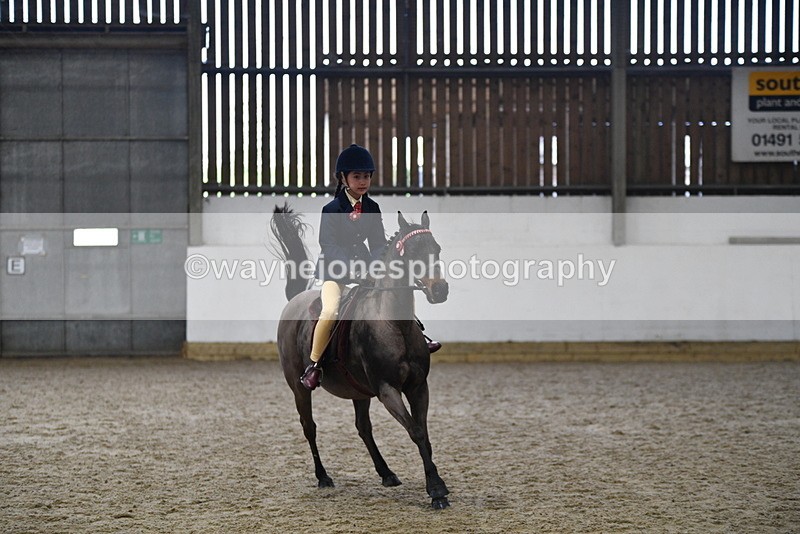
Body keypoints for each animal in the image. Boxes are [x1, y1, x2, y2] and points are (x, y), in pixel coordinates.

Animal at [270, 204, 451, 509]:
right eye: (412, 251)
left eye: (436, 248)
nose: (439, 289)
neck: (393, 323)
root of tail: (294, 301)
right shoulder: (388, 390)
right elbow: (415, 431)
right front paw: (436, 490)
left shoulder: (418, 386)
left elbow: (424, 434)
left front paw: (437, 484)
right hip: (298, 387)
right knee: (310, 427)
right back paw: (323, 477)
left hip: (358, 390)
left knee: (363, 428)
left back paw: (386, 473)